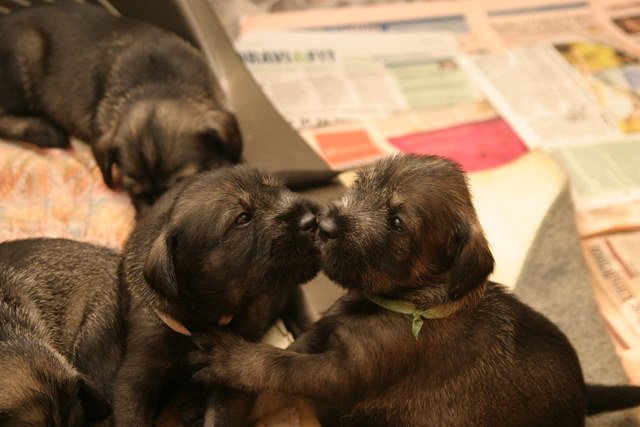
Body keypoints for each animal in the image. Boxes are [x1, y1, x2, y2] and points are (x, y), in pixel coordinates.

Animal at [114, 166, 320, 426]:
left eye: (279, 189)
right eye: (242, 218)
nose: (312, 219)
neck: (202, 317)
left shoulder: (230, 380)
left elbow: (221, 414)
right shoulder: (135, 378)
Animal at [192, 155, 640, 426]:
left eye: (396, 223)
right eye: (360, 185)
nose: (324, 225)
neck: (405, 304)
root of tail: (584, 396)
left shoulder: (343, 373)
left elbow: (282, 366)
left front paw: (228, 357)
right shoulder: (321, 334)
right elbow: (287, 354)